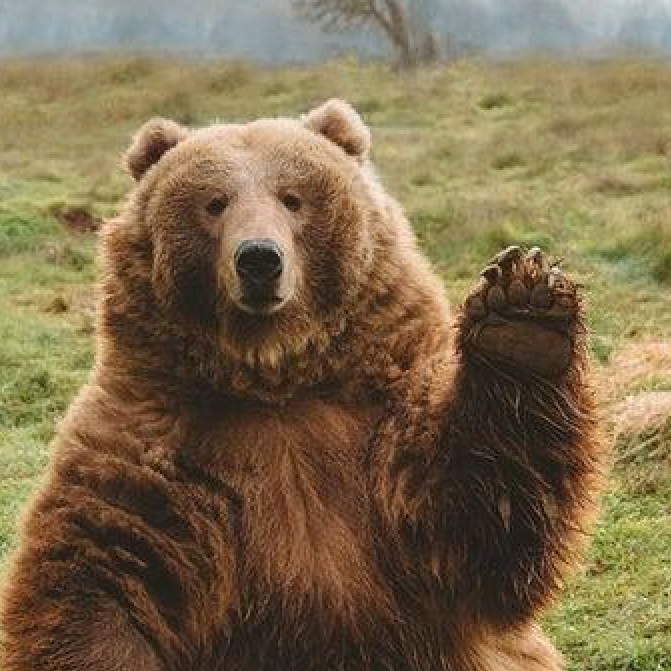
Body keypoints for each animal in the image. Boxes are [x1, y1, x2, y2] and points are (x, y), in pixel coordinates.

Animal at [0, 99, 602, 671]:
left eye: (293, 198)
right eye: (214, 202)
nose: (259, 259)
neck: (276, 376)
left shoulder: (381, 436)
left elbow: (479, 518)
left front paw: (522, 317)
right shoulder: (155, 444)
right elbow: (99, 575)